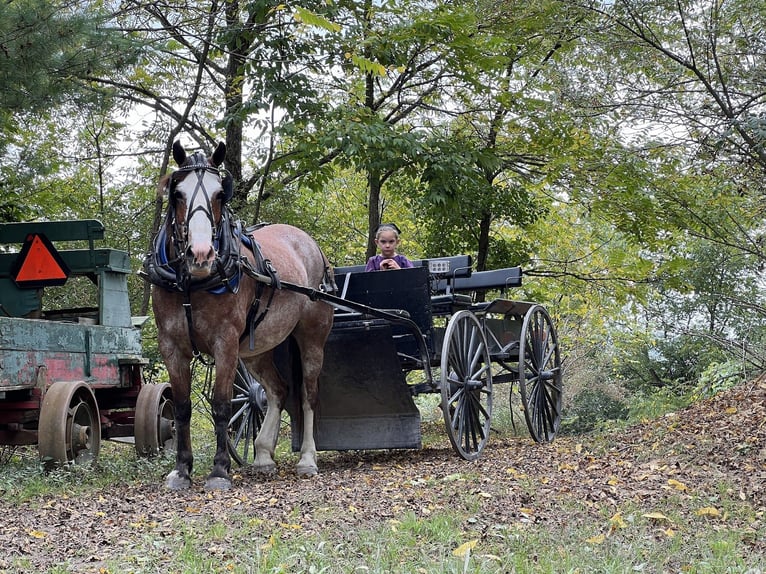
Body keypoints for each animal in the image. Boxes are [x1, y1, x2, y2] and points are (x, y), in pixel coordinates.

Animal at [146, 140, 334, 490]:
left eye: (221, 194)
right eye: (177, 193)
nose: (201, 254)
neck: (190, 284)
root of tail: (310, 244)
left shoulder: (226, 343)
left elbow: (221, 404)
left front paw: (220, 470)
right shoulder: (172, 346)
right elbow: (181, 407)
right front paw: (182, 469)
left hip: (312, 337)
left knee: (308, 394)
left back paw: (307, 459)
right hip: (257, 348)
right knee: (277, 390)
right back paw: (262, 455)